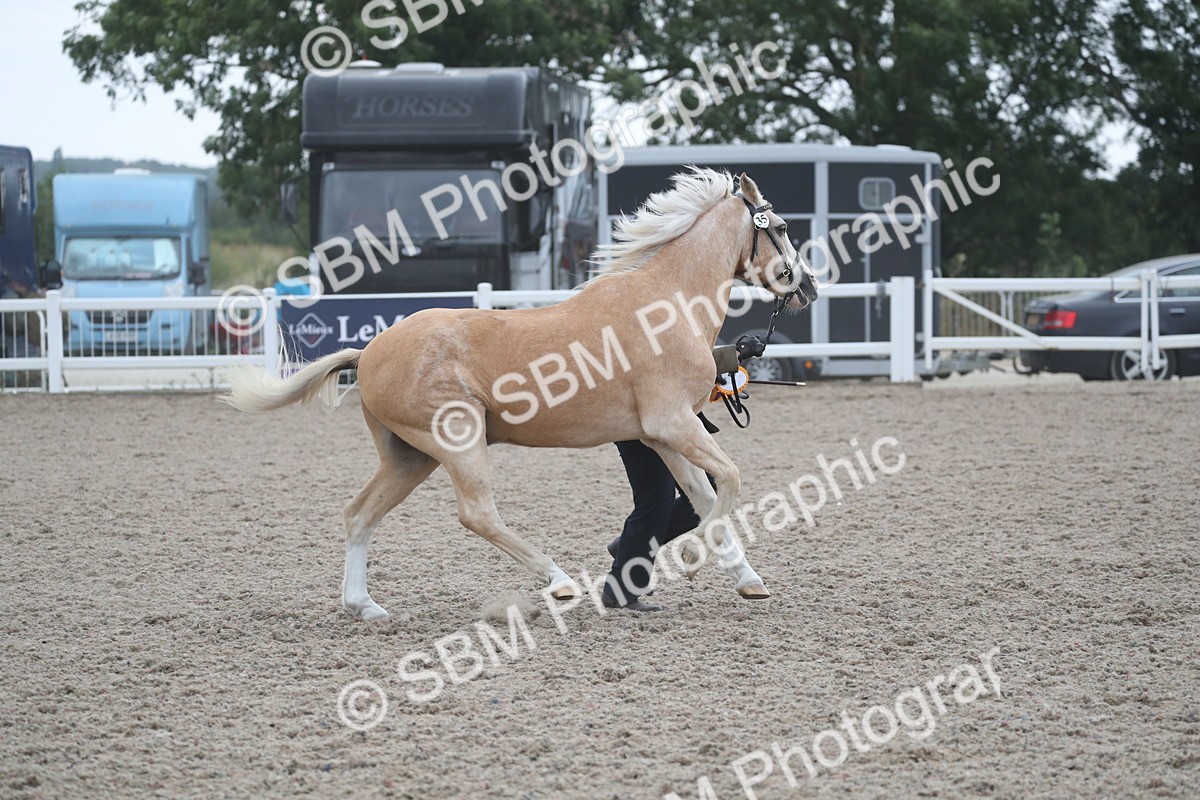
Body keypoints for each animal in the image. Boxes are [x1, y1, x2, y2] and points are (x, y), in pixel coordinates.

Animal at [223, 168, 818, 620]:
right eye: (783, 226)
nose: (808, 287)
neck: (667, 306)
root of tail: (367, 353)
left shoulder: (663, 435)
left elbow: (698, 495)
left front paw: (748, 579)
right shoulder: (674, 423)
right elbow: (729, 482)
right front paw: (697, 561)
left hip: (409, 456)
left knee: (359, 514)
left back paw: (364, 606)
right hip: (456, 441)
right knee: (476, 514)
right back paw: (559, 581)